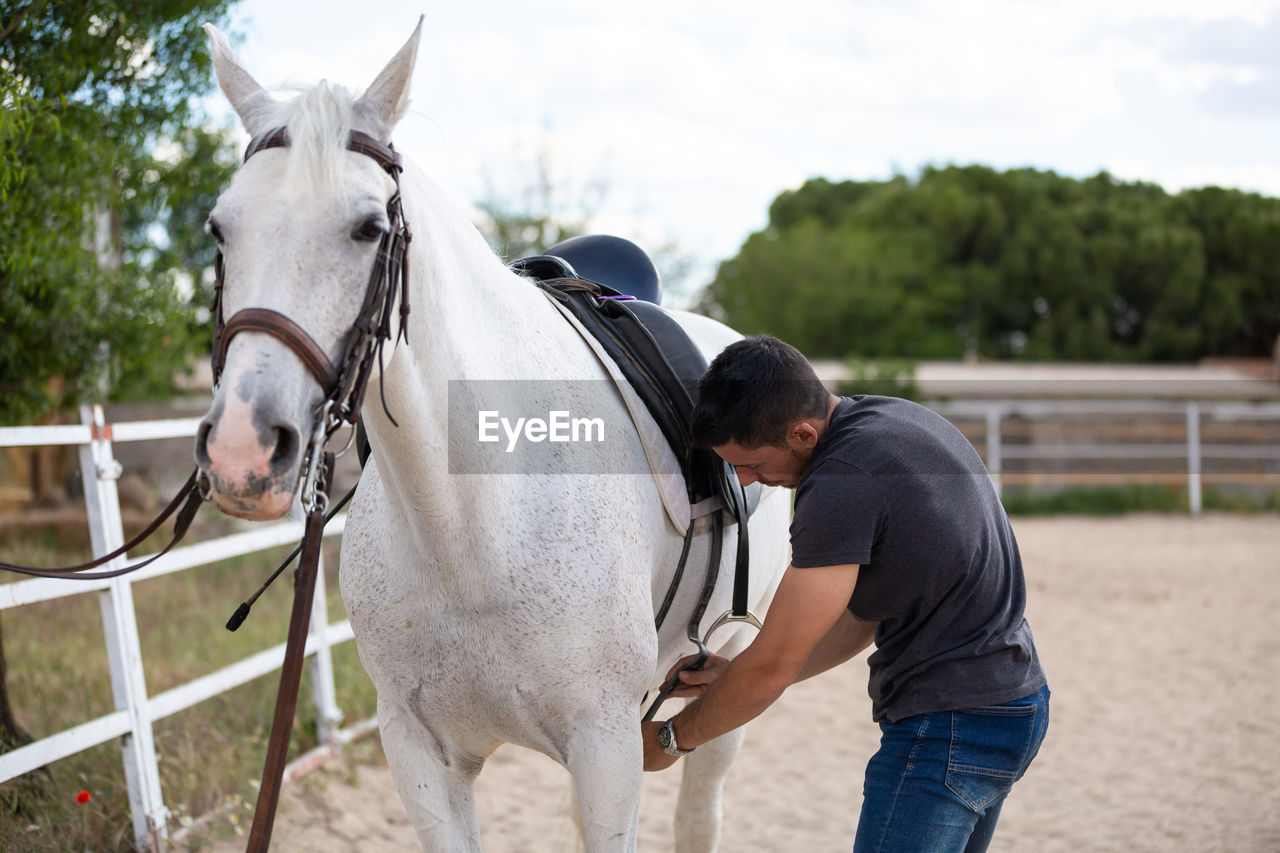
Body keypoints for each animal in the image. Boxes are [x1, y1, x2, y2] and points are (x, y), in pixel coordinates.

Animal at [197, 19, 788, 850]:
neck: (472, 524)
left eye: (368, 227)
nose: (243, 449)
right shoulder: (419, 752)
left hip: (723, 684)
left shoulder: (607, 748)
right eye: (221, 228)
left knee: (700, 811)